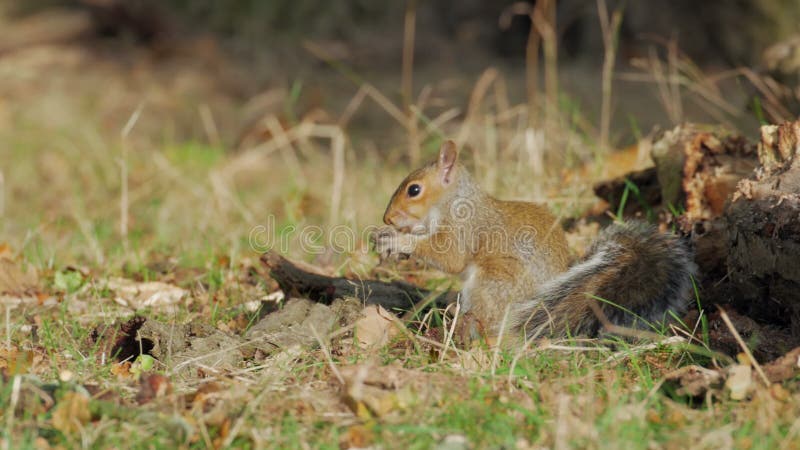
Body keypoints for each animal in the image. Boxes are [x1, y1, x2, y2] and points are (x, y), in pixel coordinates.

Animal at [374, 141, 692, 342]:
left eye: (414, 190)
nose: (387, 218)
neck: (453, 200)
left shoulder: (464, 227)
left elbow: (451, 257)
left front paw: (400, 242)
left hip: (493, 283)